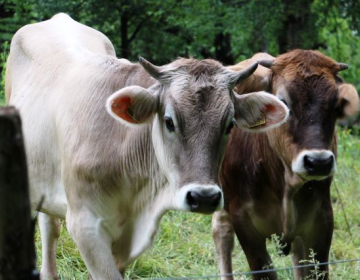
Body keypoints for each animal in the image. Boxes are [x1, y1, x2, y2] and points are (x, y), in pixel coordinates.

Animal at [212, 50, 358, 280]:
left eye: (335, 108)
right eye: (283, 102)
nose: (318, 162)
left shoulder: (322, 219)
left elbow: (315, 270)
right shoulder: (243, 221)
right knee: (222, 234)